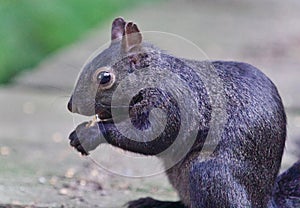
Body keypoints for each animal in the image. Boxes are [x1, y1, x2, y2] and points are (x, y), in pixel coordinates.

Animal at [67, 17, 300, 206]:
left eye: (104, 78)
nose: (72, 106)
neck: (153, 77)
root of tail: (264, 200)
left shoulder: (170, 103)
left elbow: (151, 137)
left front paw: (88, 134)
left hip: (209, 174)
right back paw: (156, 203)